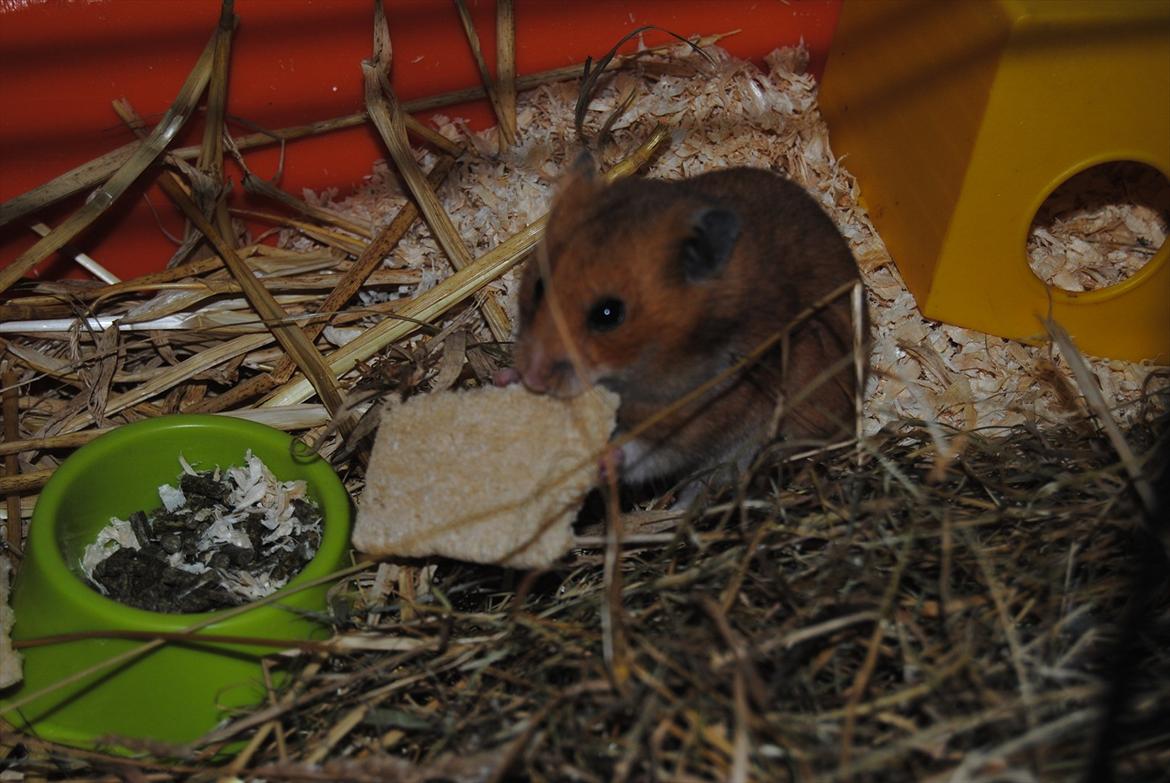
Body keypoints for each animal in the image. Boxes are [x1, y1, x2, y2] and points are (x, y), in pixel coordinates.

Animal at [512, 157, 863, 493]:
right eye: (539, 285)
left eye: (607, 314)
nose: (532, 379)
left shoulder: (703, 417)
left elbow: (644, 454)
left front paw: (605, 460)